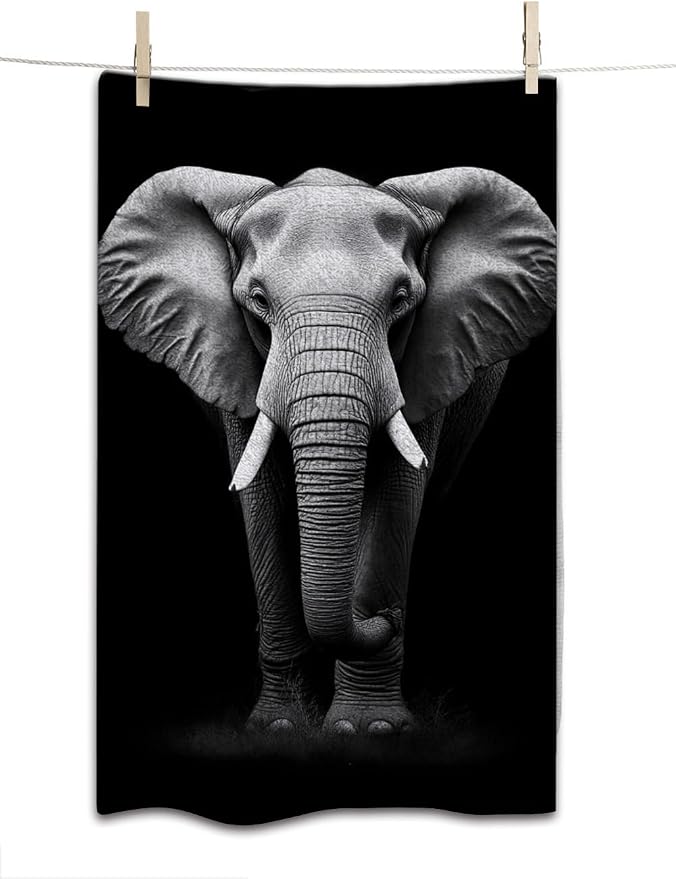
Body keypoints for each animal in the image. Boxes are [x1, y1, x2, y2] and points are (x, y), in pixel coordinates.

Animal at [98, 165, 556, 736]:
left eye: (401, 299)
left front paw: (370, 731)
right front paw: (280, 728)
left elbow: (395, 499)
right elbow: (263, 506)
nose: (384, 617)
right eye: (258, 299)